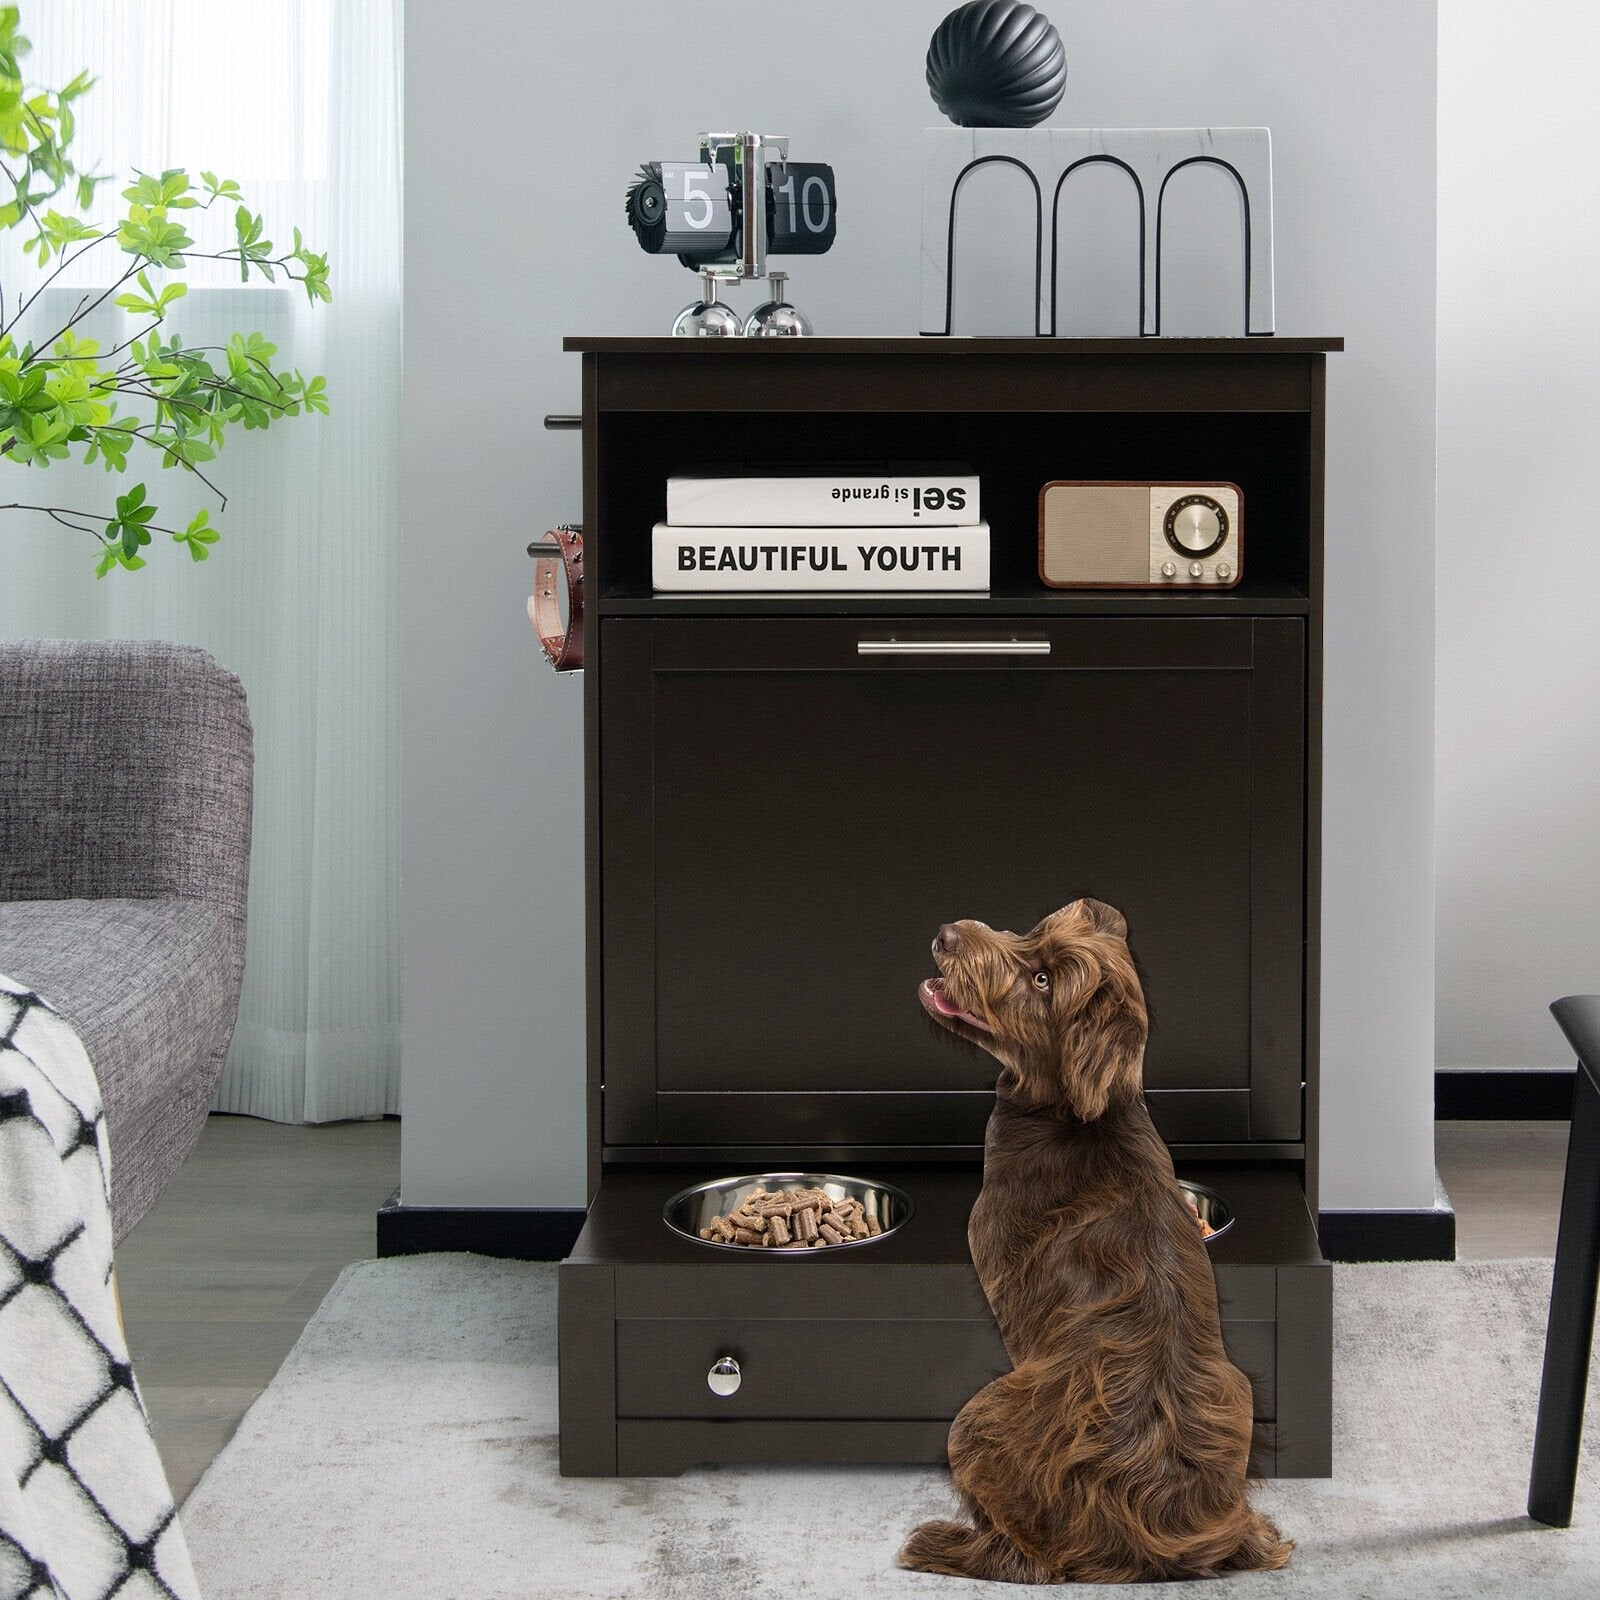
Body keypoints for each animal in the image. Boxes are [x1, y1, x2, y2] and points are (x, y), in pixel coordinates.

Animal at [908, 902, 1292, 1587]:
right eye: (1032, 933)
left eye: (1042, 982)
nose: (947, 935)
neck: (1076, 1113)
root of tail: (1136, 1546)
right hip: (1239, 1389)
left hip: (975, 1418)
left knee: (1022, 1554)